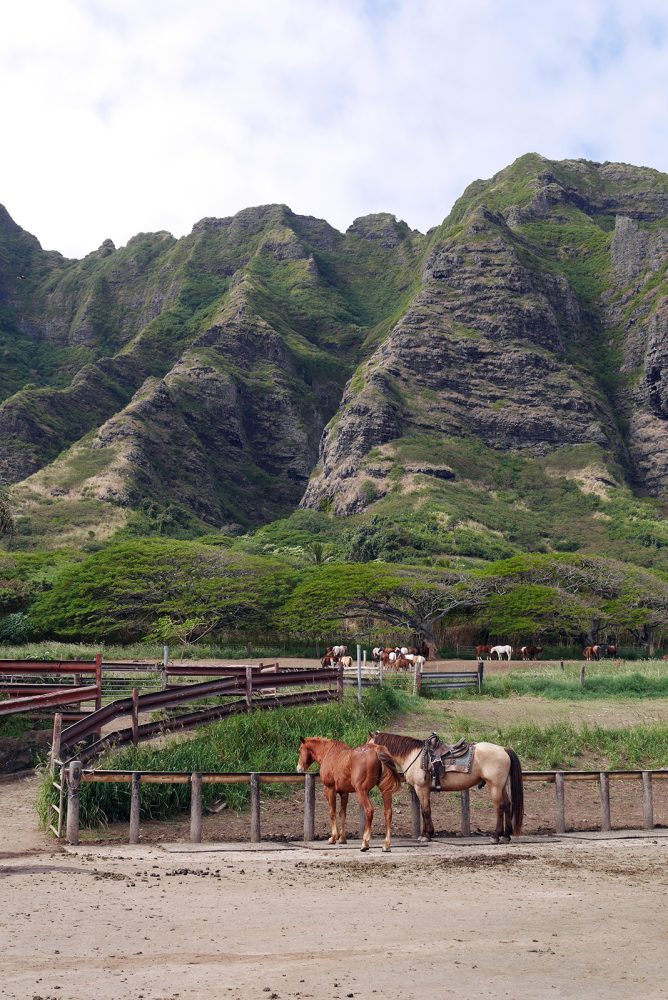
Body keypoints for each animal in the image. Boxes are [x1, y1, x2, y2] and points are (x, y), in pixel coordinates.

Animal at [368, 728, 524, 844]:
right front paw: (429, 833)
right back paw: (506, 835)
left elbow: (425, 810)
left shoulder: (421, 788)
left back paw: (496, 836)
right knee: (507, 805)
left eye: (368, 745)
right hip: (501, 786)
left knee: (499, 807)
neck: (413, 755)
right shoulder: (424, 789)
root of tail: (504, 749)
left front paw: (426, 835)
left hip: (495, 786)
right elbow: (426, 810)